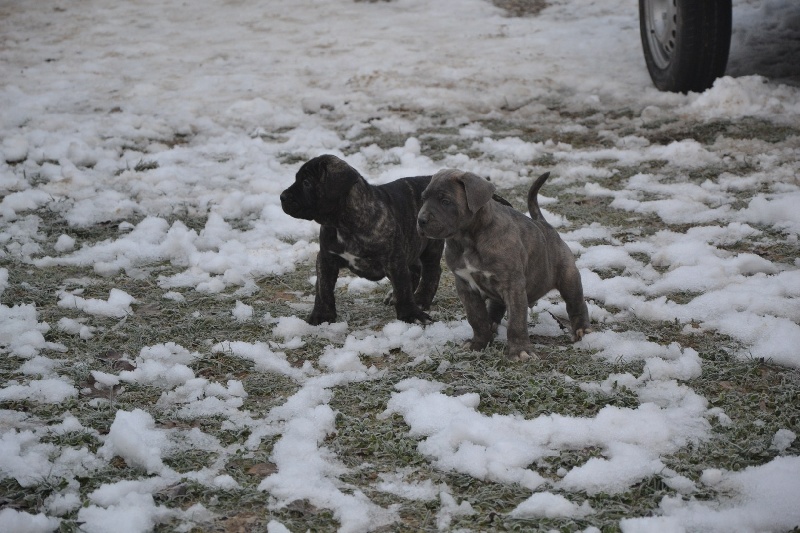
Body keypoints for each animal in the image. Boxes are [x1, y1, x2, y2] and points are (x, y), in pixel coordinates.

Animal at [282, 154, 444, 324]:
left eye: (306, 183)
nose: (282, 197)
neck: (342, 224)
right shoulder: (326, 258)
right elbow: (323, 288)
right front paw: (322, 315)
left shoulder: (394, 260)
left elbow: (402, 287)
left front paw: (410, 314)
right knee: (415, 268)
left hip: (431, 244)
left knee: (432, 271)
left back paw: (420, 300)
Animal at [416, 169, 592, 362]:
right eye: (423, 198)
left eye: (445, 201)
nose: (420, 220)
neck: (467, 239)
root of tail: (545, 225)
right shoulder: (465, 286)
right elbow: (476, 318)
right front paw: (478, 343)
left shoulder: (512, 285)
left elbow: (516, 321)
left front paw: (520, 351)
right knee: (496, 306)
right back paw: (492, 324)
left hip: (569, 278)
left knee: (576, 303)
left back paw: (582, 330)